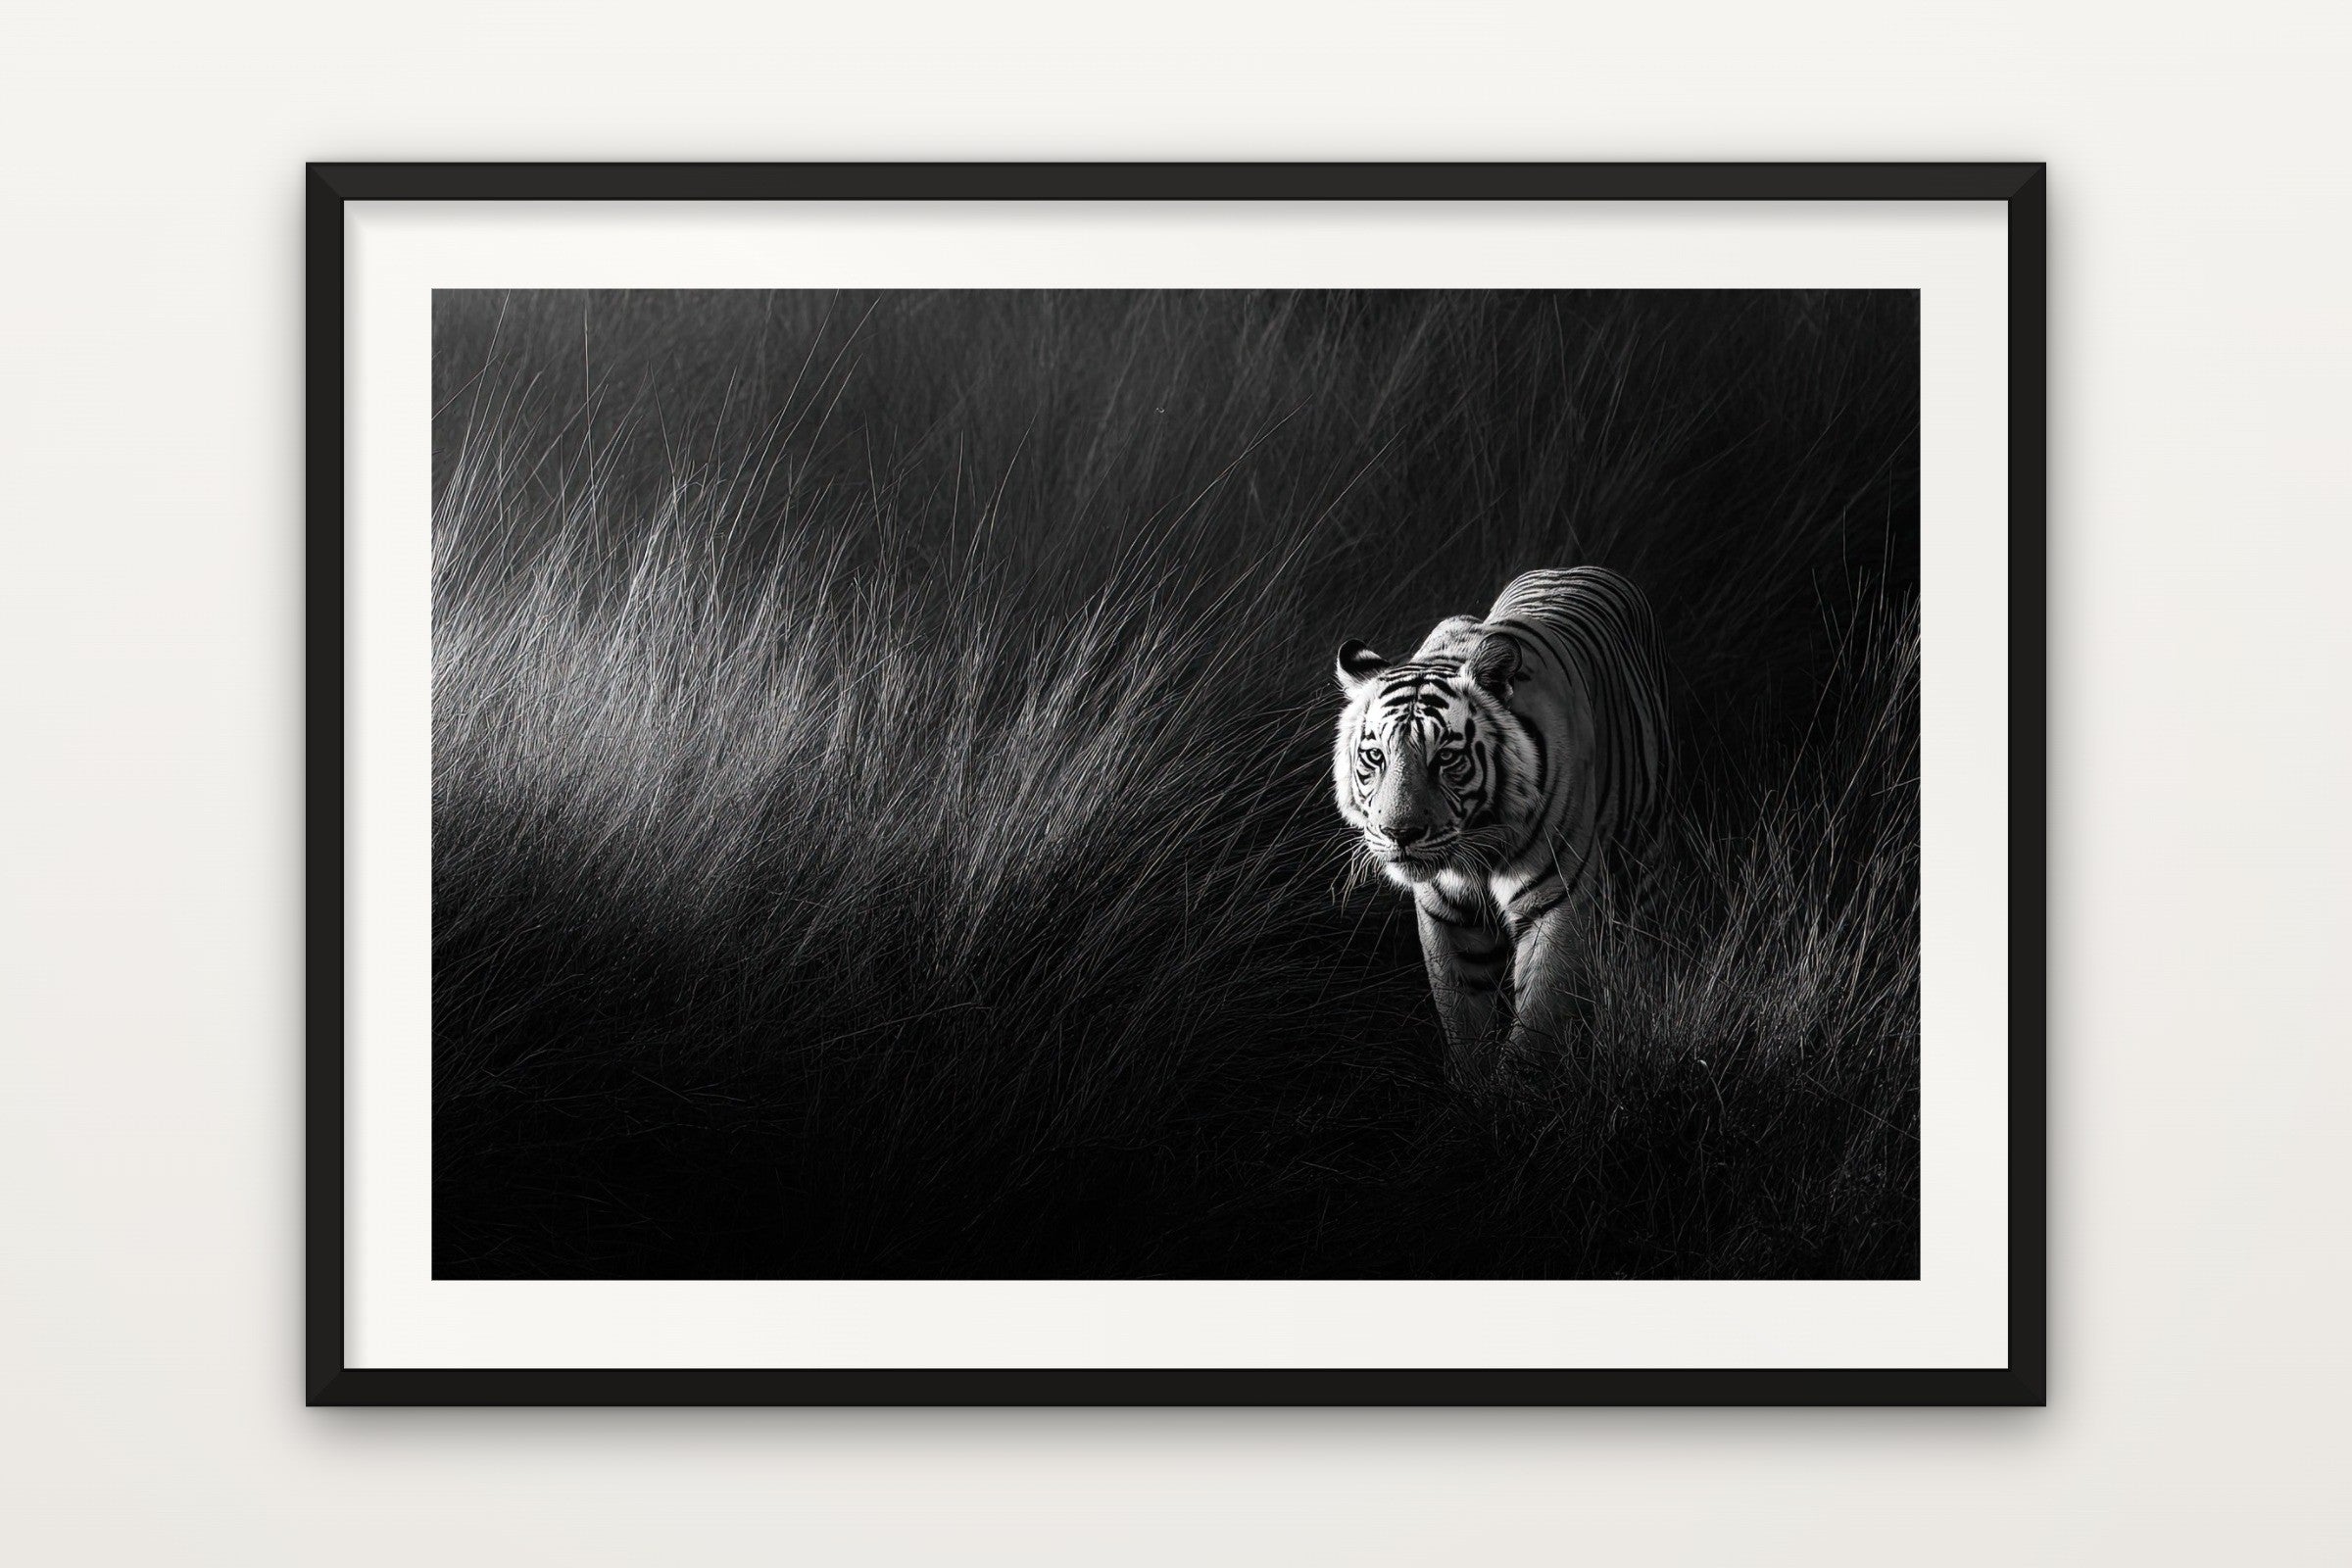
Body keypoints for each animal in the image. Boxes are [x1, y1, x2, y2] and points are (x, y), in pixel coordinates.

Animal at [1333, 566, 1671, 1084]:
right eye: (1375, 756)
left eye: (1445, 758)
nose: (1398, 834)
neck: (1478, 845)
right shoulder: (1444, 914)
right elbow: (1463, 1019)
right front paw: (1472, 1092)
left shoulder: (1557, 901)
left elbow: (1537, 1024)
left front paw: (1512, 1098)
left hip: (1644, 856)